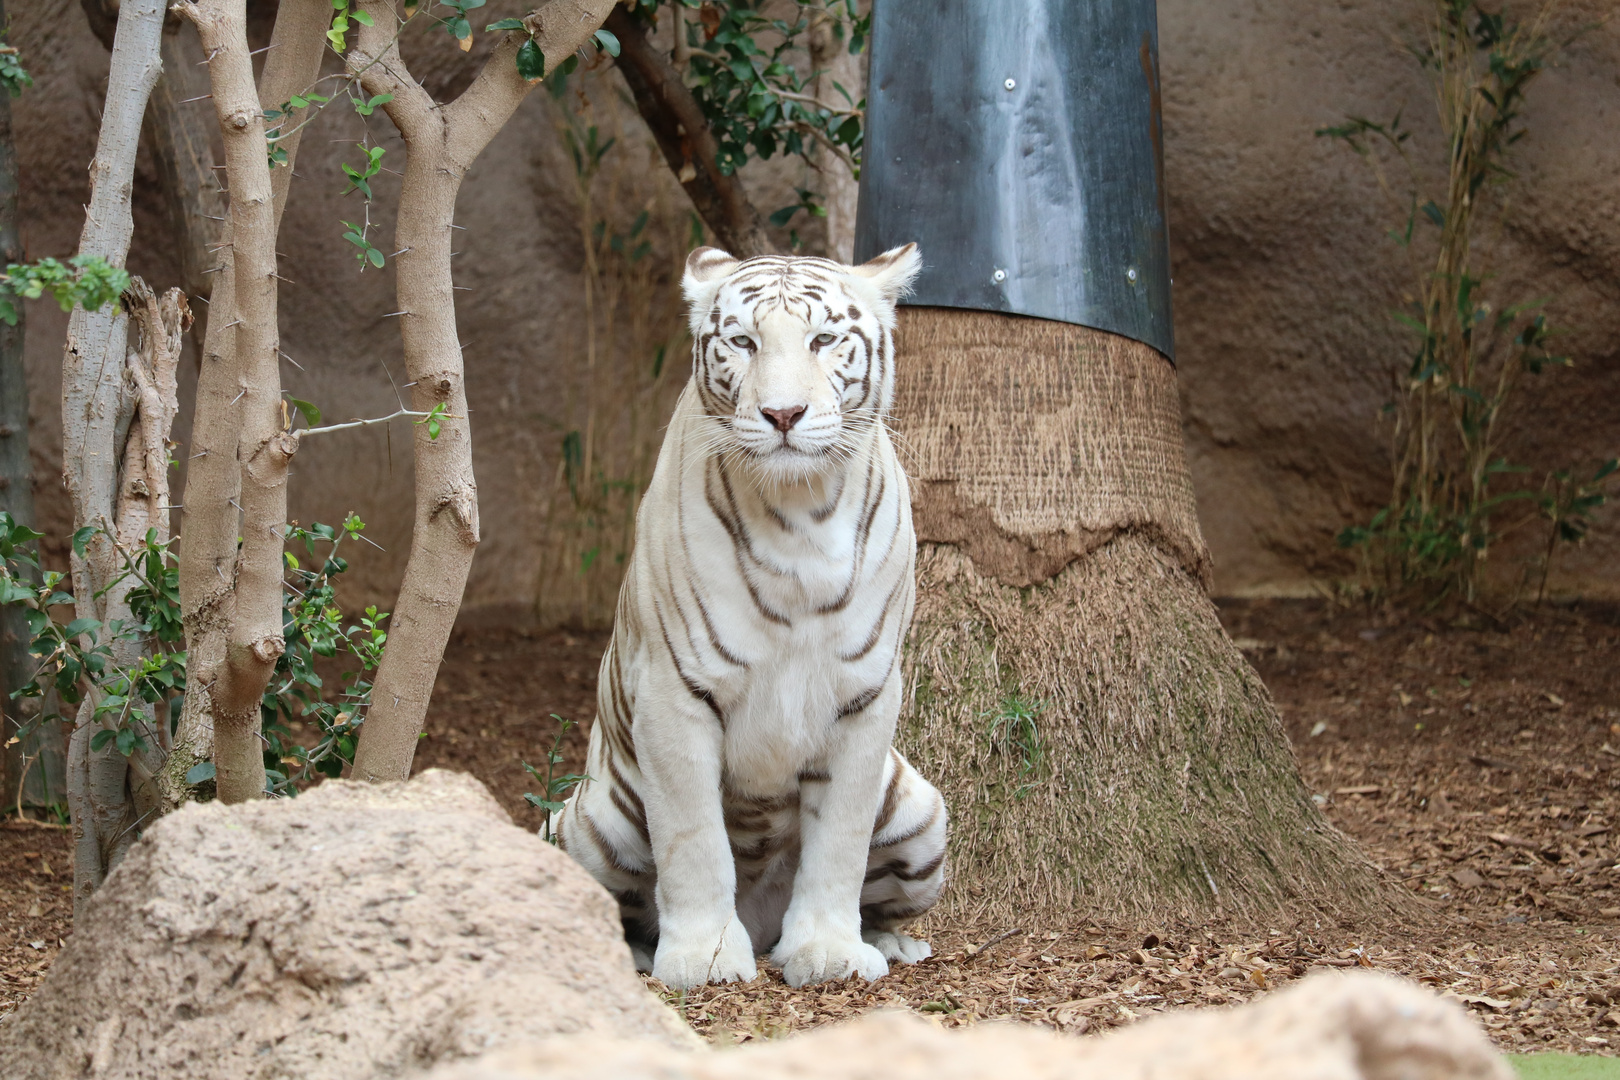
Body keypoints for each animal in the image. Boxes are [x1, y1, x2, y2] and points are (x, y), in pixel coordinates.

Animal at [550, 242, 946, 990]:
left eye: (824, 340)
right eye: (743, 342)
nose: (783, 414)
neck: (801, 512)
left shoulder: (866, 695)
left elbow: (840, 840)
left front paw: (829, 950)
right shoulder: (674, 691)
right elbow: (692, 838)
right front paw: (702, 958)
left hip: (922, 811)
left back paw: (892, 943)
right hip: (584, 824)